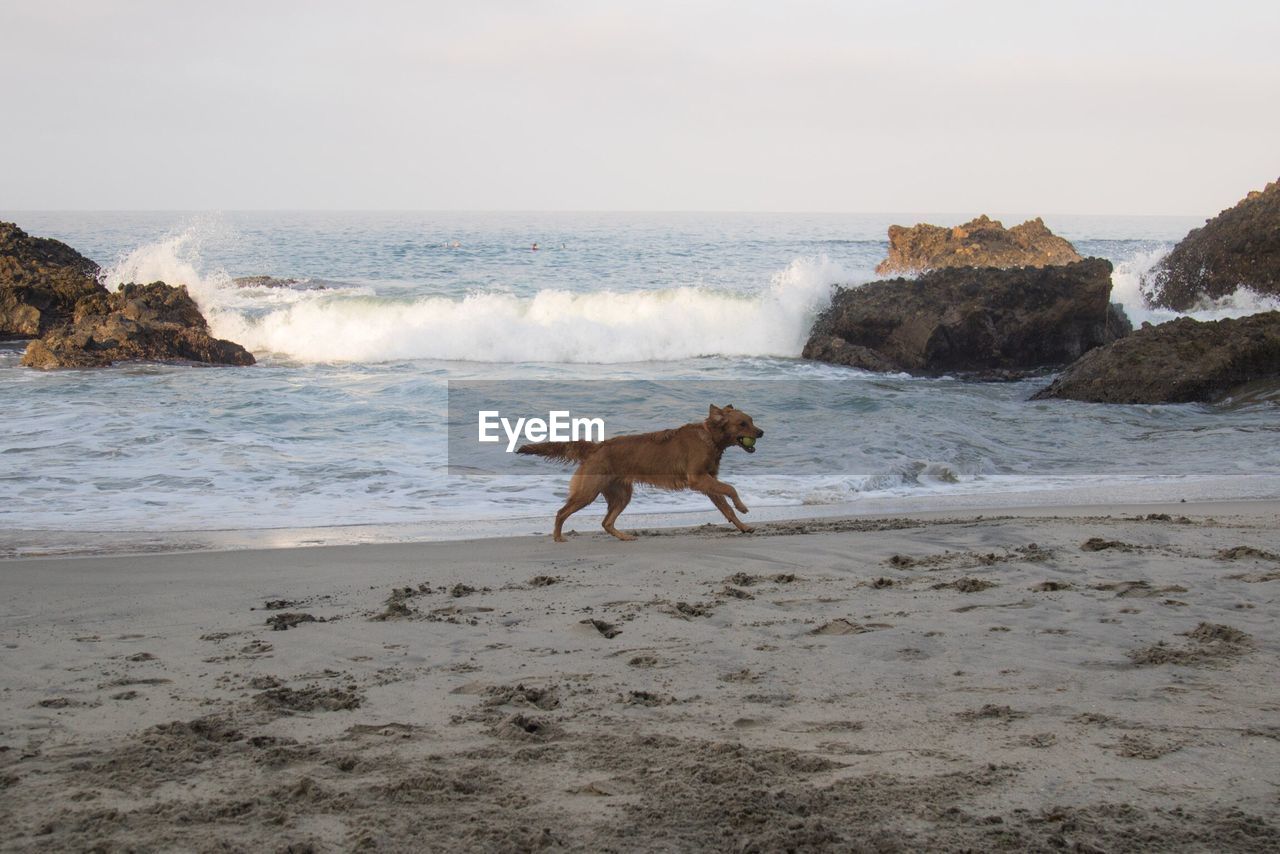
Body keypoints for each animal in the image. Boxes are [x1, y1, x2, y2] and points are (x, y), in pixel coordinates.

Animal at [517, 407, 762, 540]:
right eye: (742, 423)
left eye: (751, 421)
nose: (761, 432)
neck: (710, 437)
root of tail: (596, 446)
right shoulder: (698, 479)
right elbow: (731, 488)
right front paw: (743, 507)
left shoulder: (708, 482)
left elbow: (726, 507)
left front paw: (743, 526)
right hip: (588, 492)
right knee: (561, 512)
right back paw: (558, 538)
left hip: (622, 494)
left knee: (606, 522)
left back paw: (624, 536)